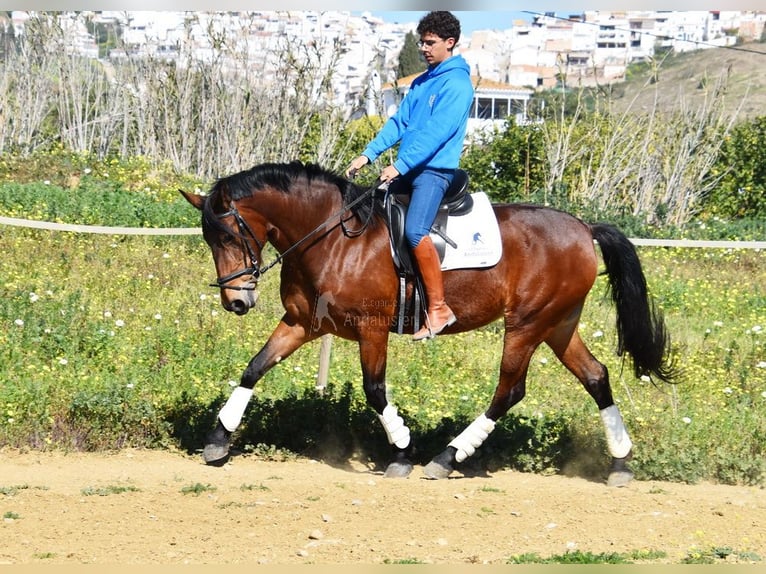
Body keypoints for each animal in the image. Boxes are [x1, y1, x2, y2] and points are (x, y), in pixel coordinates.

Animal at [182, 161, 680, 486]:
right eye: (210, 239)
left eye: (230, 236)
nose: (236, 301)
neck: (332, 238)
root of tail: (583, 227)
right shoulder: (303, 323)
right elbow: (254, 367)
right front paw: (219, 439)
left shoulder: (371, 328)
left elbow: (375, 390)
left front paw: (402, 451)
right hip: (558, 324)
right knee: (596, 376)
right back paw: (620, 463)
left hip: (527, 324)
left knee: (509, 390)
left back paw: (448, 456)